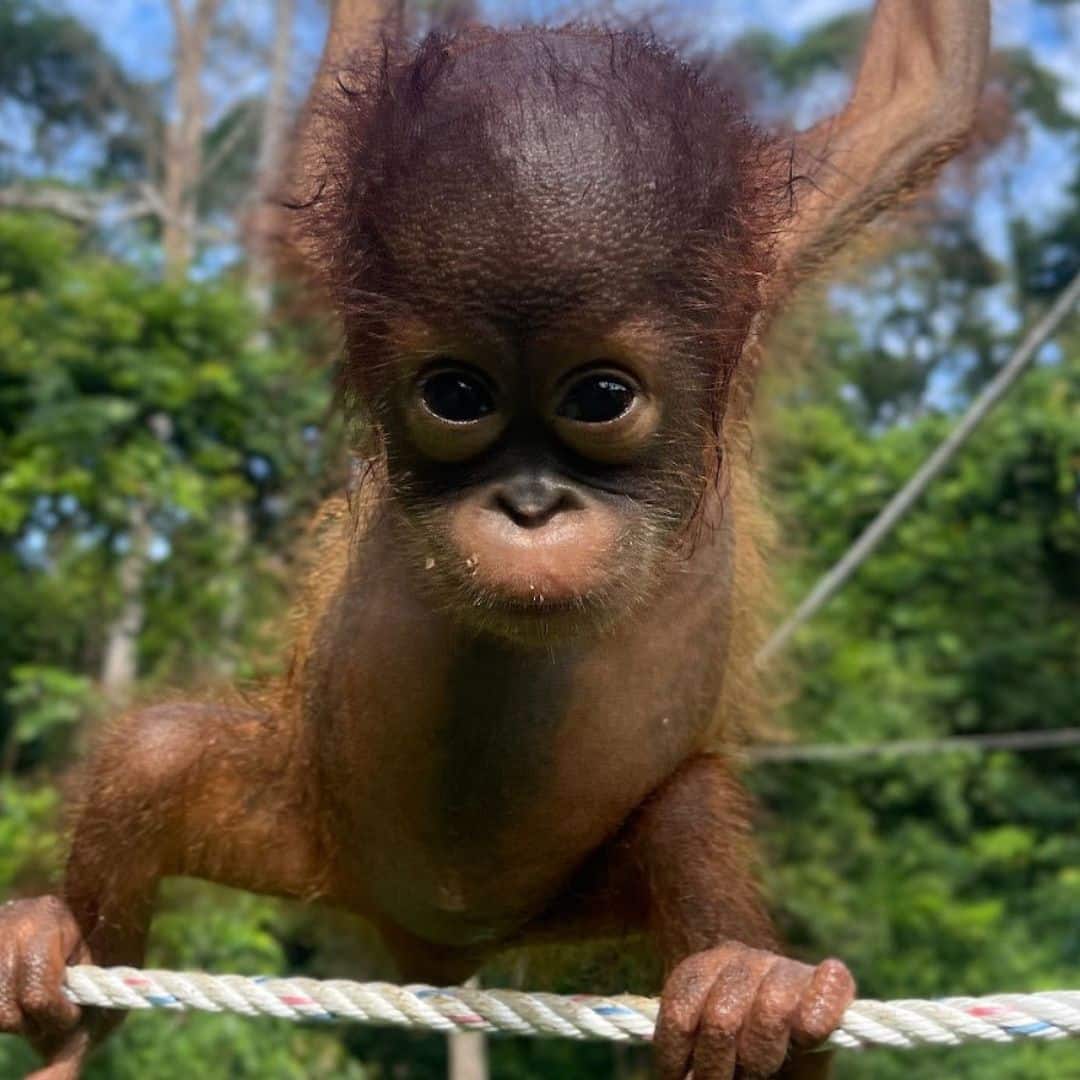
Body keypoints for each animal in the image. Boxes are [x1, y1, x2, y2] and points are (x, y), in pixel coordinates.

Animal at [0, 3, 988, 1078]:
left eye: (599, 398)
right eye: (457, 395)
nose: (529, 504)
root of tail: (432, 946)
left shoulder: (766, 257)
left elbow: (926, 95)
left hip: (571, 897)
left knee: (686, 810)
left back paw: (749, 1004)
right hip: (307, 827)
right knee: (158, 755)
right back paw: (66, 997)